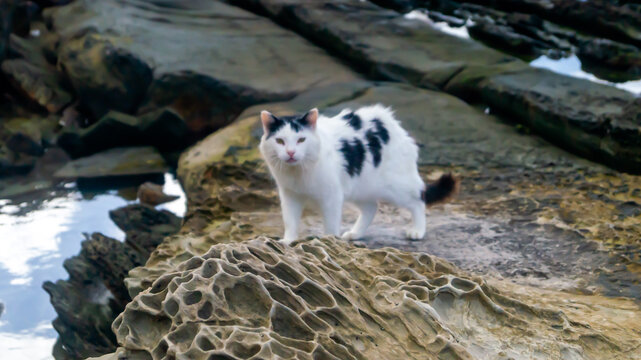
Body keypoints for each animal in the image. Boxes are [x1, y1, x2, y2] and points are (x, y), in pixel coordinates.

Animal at [258, 104, 458, 245]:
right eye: (280, 141)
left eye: (301, 140)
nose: (291, 152)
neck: (298, 172)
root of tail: (392, 122)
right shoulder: (289, 195)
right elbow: (290, 221)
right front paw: (288, 241)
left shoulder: (332, 197)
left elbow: (330, 224)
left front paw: (329, 242)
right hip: (360, 187)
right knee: (372, 207)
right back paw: (355, 233)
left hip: (396, 187)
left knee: (419, 199)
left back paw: (417, 230)